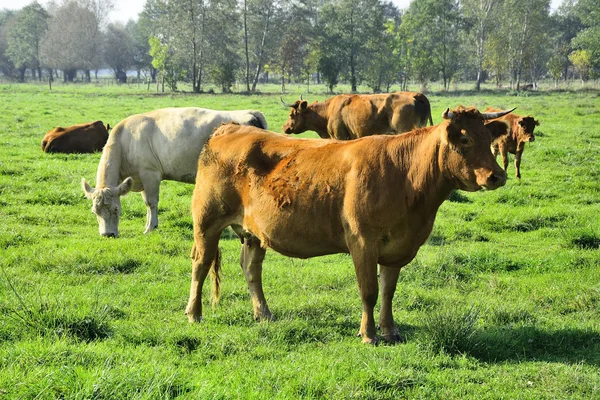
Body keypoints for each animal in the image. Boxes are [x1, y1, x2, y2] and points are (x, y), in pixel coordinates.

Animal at [81, 107, 268, 238]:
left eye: (116, 210)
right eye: (95, 212)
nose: (108, 235)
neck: (125, 141)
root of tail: (250, 112)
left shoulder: (150, 173)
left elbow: (151, 202)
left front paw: (150, 228)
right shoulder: (141, 178)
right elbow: (147, 204)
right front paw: (148, 225)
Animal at [185, 105, 512, 344]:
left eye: (489, 140)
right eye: (465, 140)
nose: (497, 176)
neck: (405, 175)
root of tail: (229, 127)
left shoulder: (398, 247)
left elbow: (388, 291)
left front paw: (390, 331)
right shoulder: (363, 243)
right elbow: (369, 291)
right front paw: (369, 335)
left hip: (254, 233)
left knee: (251, 269)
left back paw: (263, 314)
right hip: (207, 221)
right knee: (201, 265)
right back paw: (194, 313)